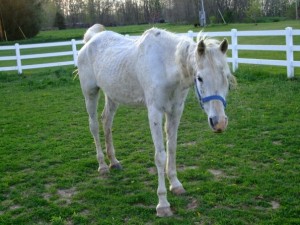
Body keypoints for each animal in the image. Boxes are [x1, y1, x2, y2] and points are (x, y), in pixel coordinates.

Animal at [76, 23, 236, 217]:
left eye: (226, 77)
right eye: (200, 78)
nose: (219, 123)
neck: (166, 66)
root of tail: (90, 39)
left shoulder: (175, 111)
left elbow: (172, 148)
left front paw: (176, 185)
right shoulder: (154, 112)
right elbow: (160, 156)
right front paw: (163, 204)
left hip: (112, 96)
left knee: (106, 122)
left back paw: (113, 162)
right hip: (90, 93)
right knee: (93, 126)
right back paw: (103, 166)